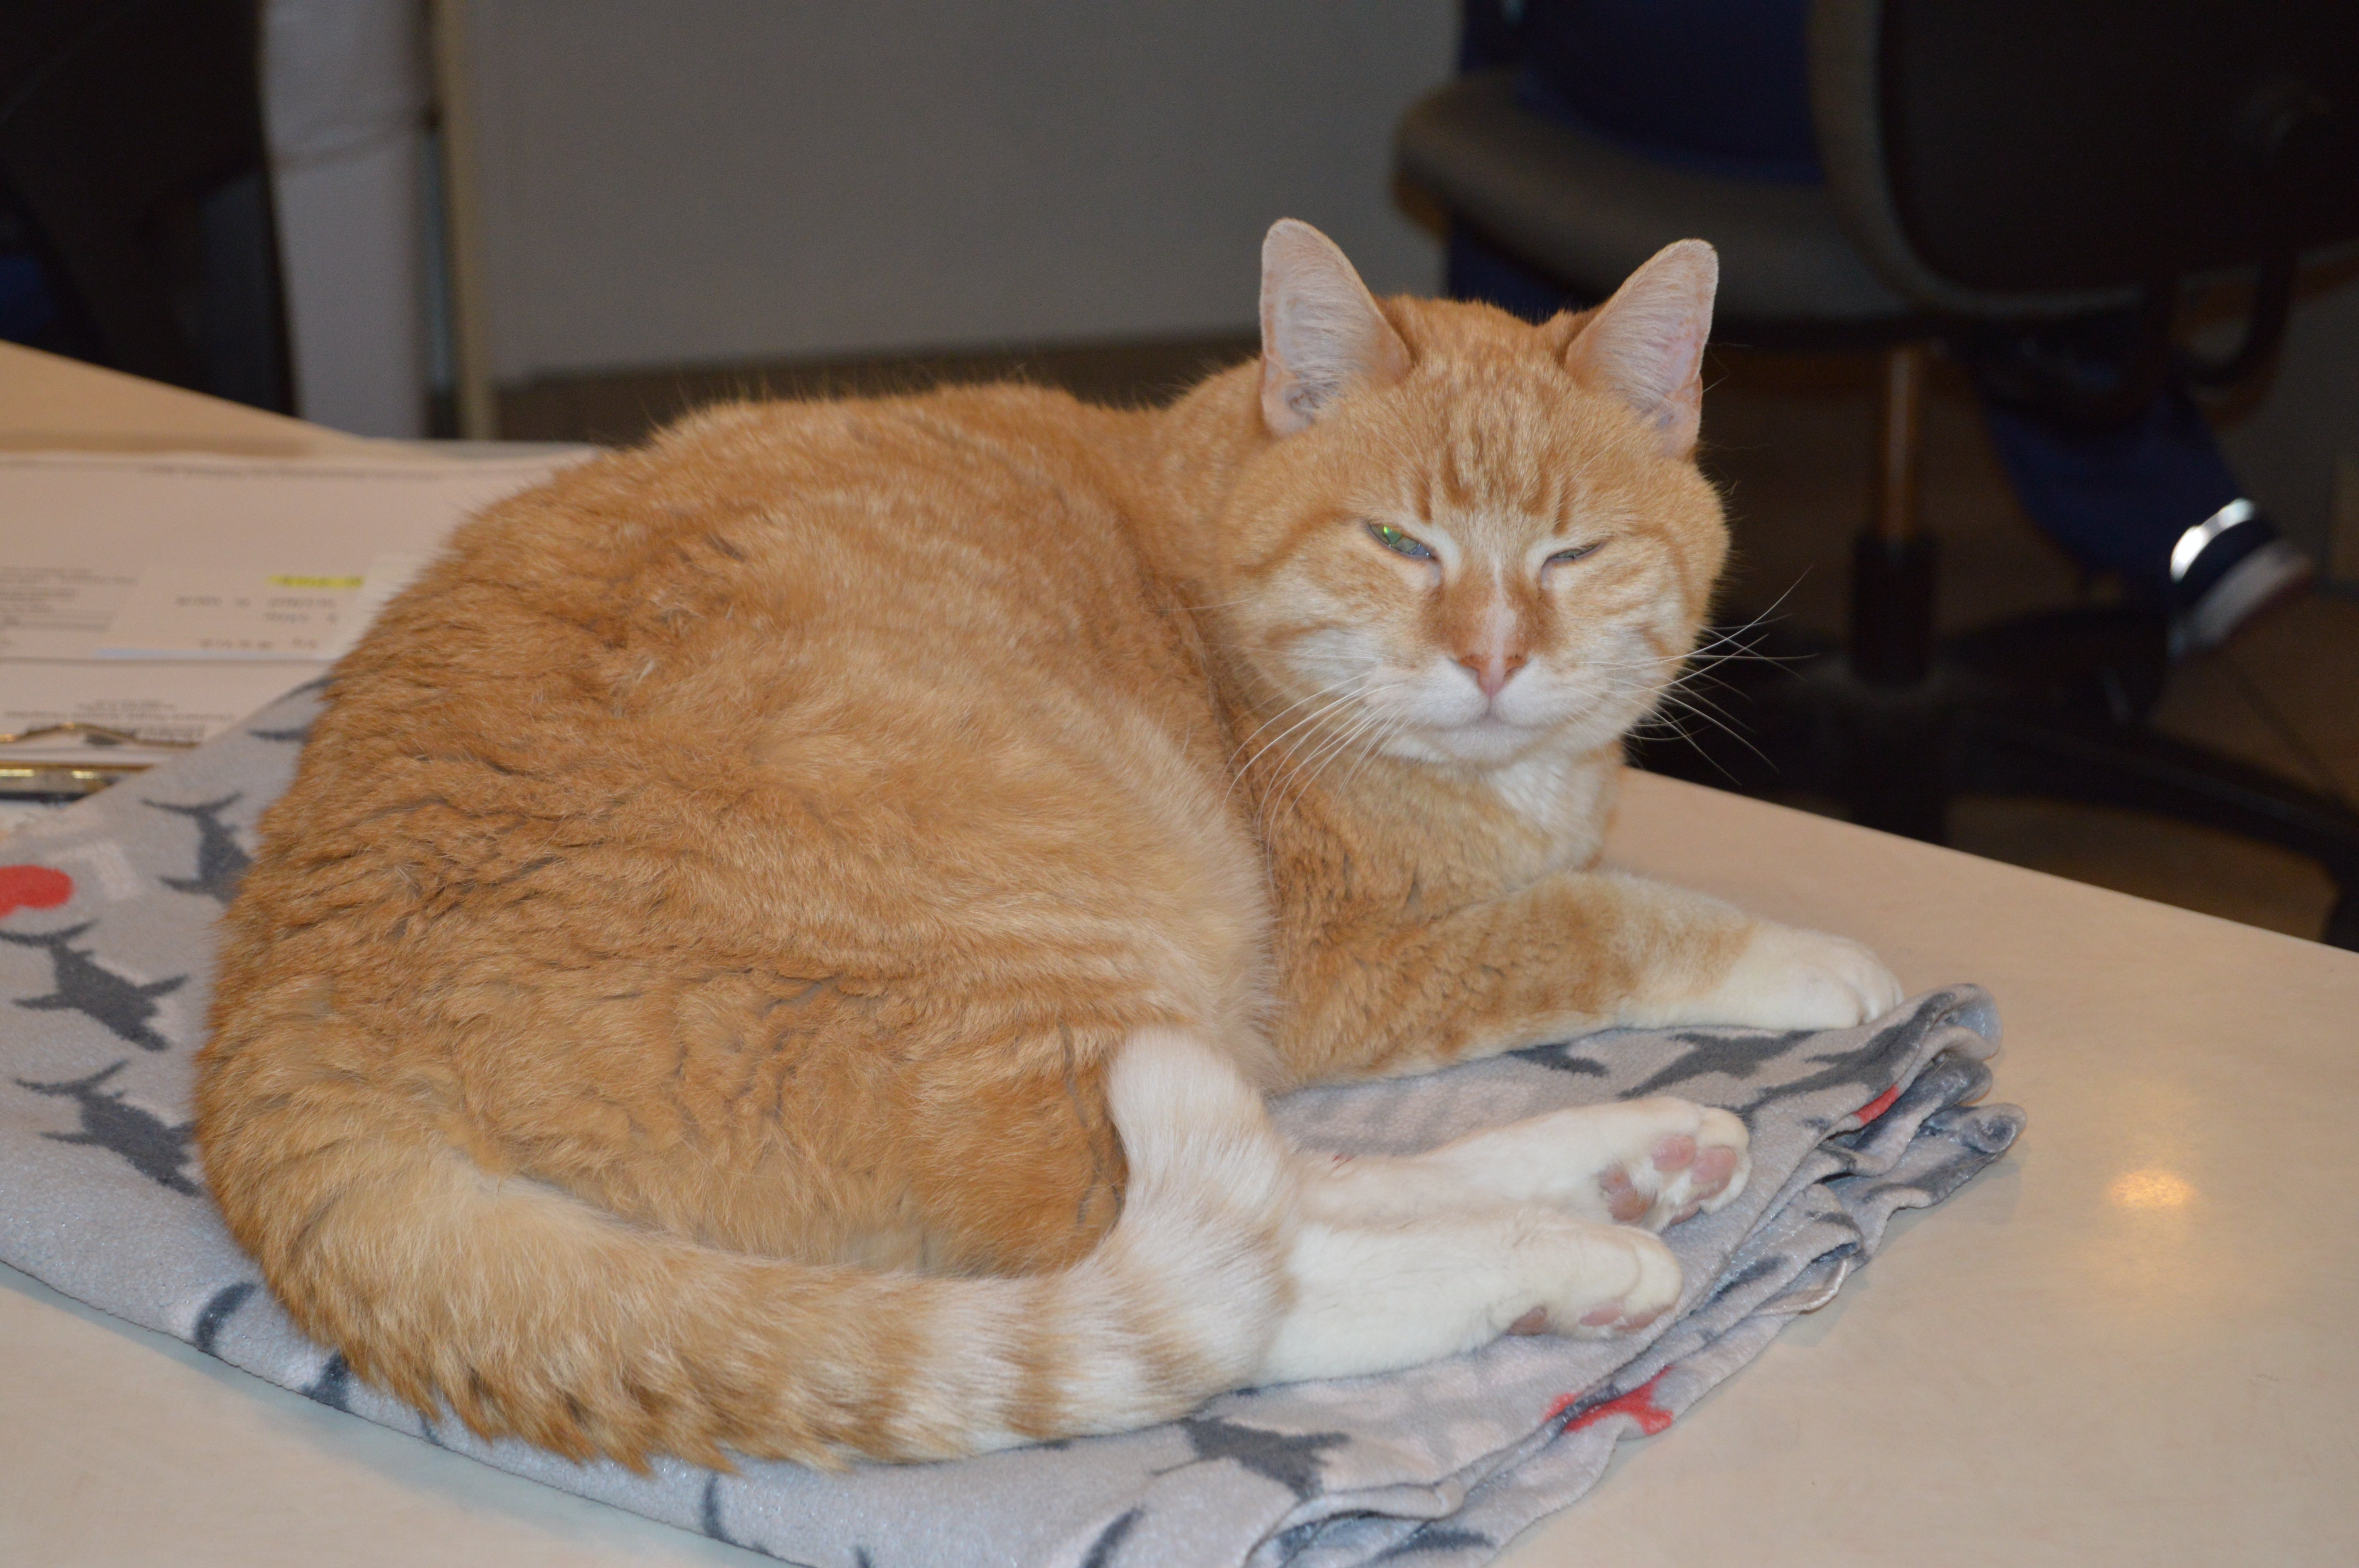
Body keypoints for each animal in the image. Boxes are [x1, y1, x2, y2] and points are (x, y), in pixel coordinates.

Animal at [194, 219, 1900, 1471]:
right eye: (1400, 542)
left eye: (1575, 553)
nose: (1491, 658)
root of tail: (278, 1019)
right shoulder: (1350, 972)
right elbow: (1609, 917)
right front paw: (1825, 961)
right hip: (1054, 965)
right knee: (1229, 1269)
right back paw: (1569, 1257)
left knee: (1287, 1188)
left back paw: (1625, 1163)